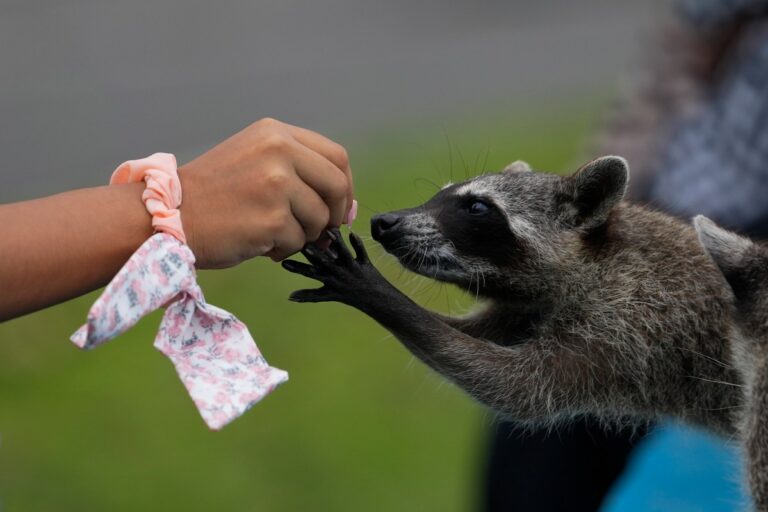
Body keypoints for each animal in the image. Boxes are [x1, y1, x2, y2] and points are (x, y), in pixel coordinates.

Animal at [284, 155, 744, 432]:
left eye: (477, 207)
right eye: (441, 193)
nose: (383, 222)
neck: (595, 259)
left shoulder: (635, 318)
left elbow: (517, 388)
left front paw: (380, 295)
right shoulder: (529, 305)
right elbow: (477, 337)